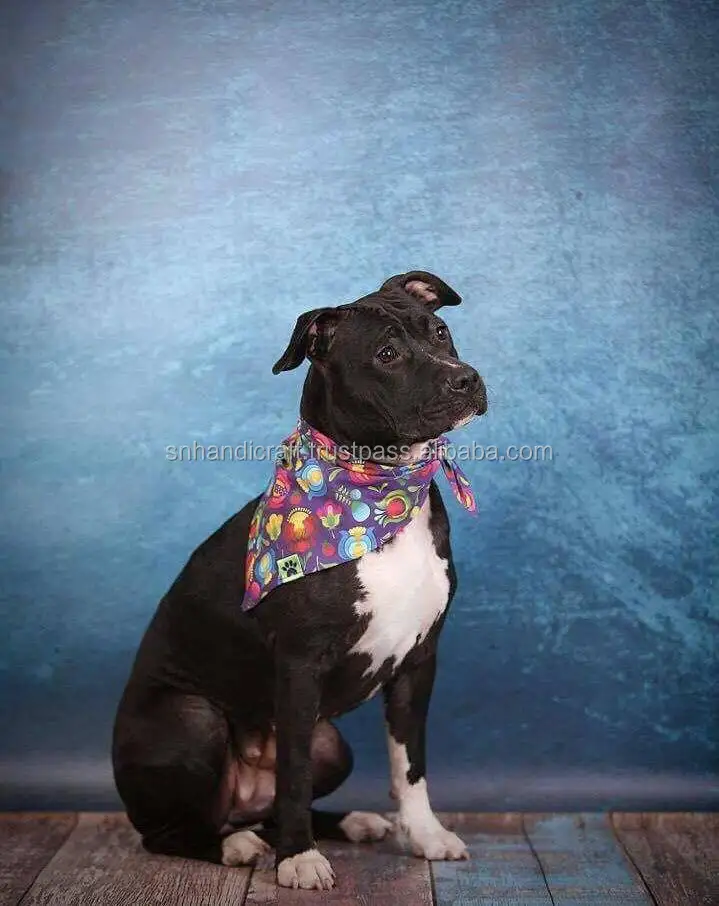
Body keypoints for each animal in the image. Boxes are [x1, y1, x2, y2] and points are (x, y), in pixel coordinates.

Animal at [112, 270, 490, 888]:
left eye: (439, 331)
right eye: (387, 355)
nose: (466, 379)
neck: (381, 487)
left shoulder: (419, 662)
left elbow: (410, 763)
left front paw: (425, 836)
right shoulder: (297, 665)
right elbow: (292, 774)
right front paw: (299, 859)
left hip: (332, 744)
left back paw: (350, 823)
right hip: (190, 720)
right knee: (169, 833)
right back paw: (236, 845)